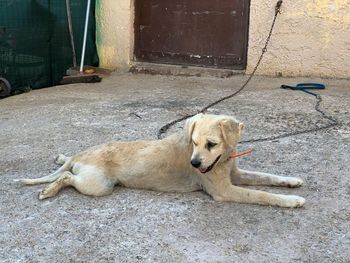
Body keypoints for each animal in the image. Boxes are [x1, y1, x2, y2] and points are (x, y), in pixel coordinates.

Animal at [15, 114, 306, 208]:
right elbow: (262, 194)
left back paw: (61, 159)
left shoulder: (235, 175)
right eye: (194, 142)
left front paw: (292, 182)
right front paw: (291, 201)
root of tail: (82, 155)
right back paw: (49, 190)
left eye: (211, 144)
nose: (195, 164)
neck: (222, 161)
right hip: (99, 185)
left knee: (65, 167)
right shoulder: (224, 190)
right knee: (66, 177)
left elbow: (267, 178)